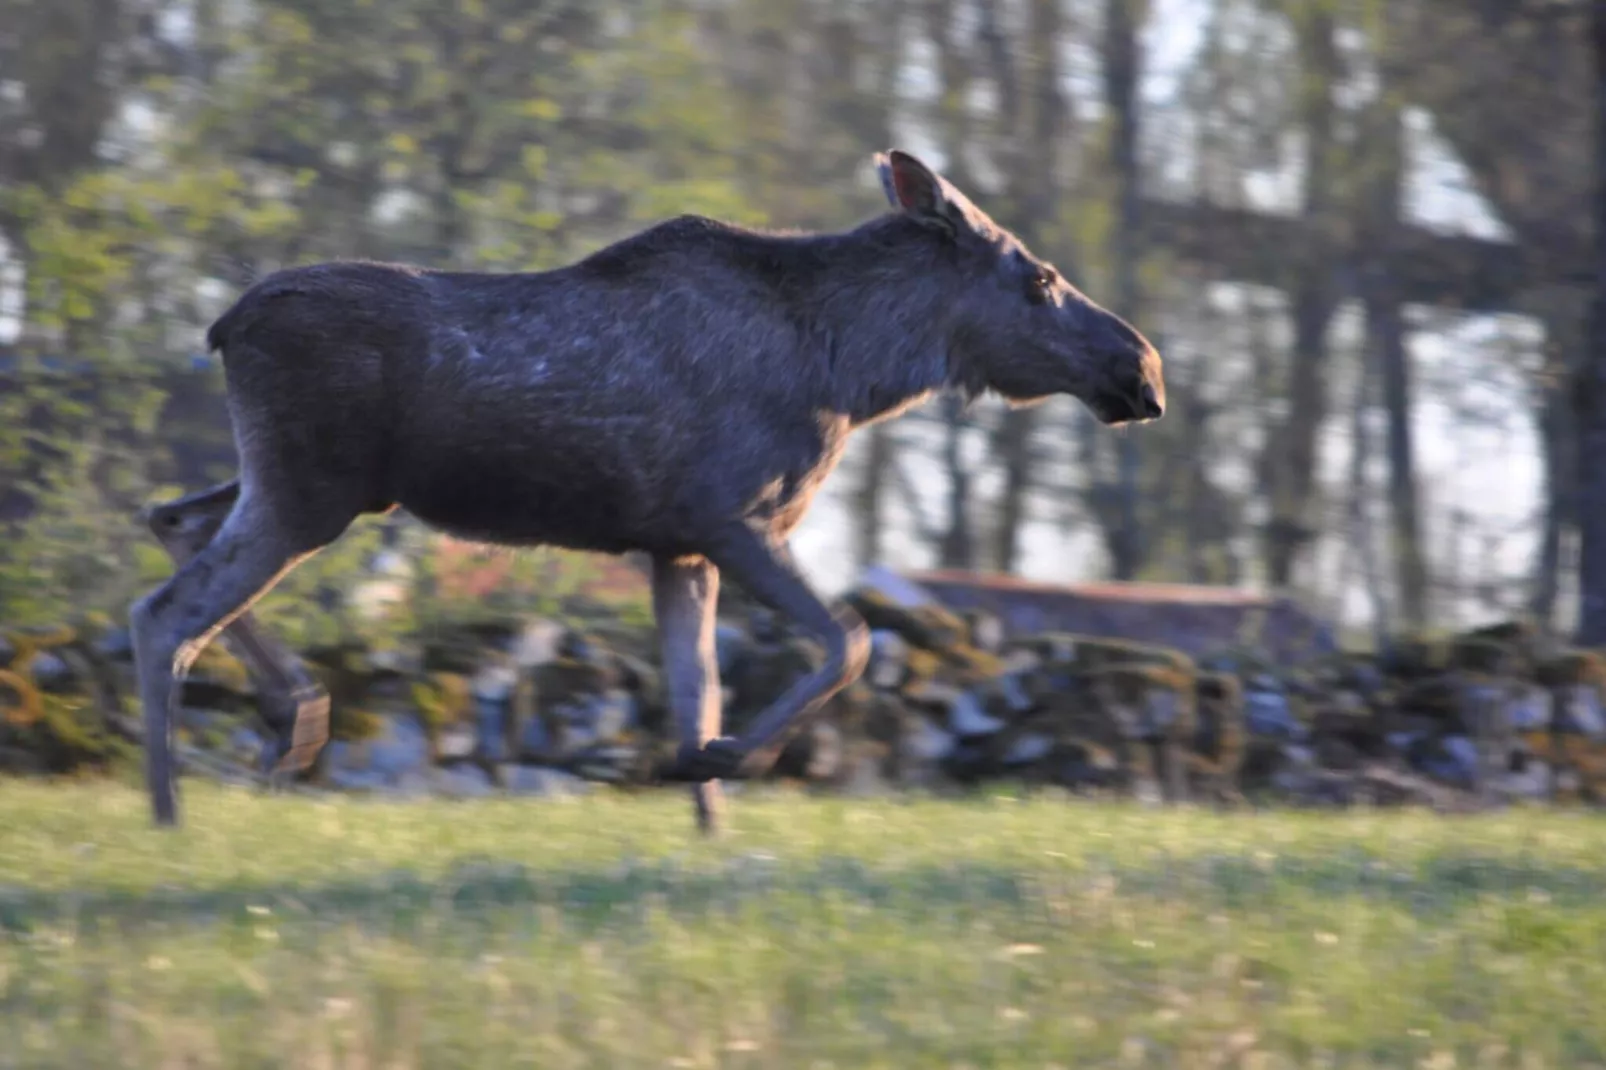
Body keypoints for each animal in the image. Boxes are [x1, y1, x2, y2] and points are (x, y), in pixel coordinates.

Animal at [131, 151, 1162, 835]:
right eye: (1040, 278)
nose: (1143, 368)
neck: (856, 372)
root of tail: (222, 326)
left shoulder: (678, 547)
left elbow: (694, 688)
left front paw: (707, 824)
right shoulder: (731, 518)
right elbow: (851, 640)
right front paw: (727, 759)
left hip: (319, 487)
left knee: (169, 516)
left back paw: (291, 719)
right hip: (312, 489)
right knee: (163, 612)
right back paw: (173, 806)